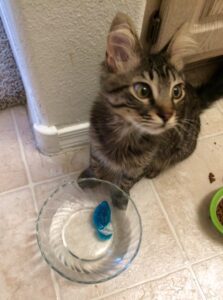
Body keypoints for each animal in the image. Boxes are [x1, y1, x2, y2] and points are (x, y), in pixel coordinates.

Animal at [80, 13, 223, 197]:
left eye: (176, 92)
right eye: (143, 91)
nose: (167, 115)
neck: (125, 132)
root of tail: (197, 97)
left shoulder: (142, 163)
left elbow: (127, 181)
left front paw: (119, 197)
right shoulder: (95, 144)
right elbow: (95, 163)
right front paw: (89, 179)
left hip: (182, 148)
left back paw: (155, 170)